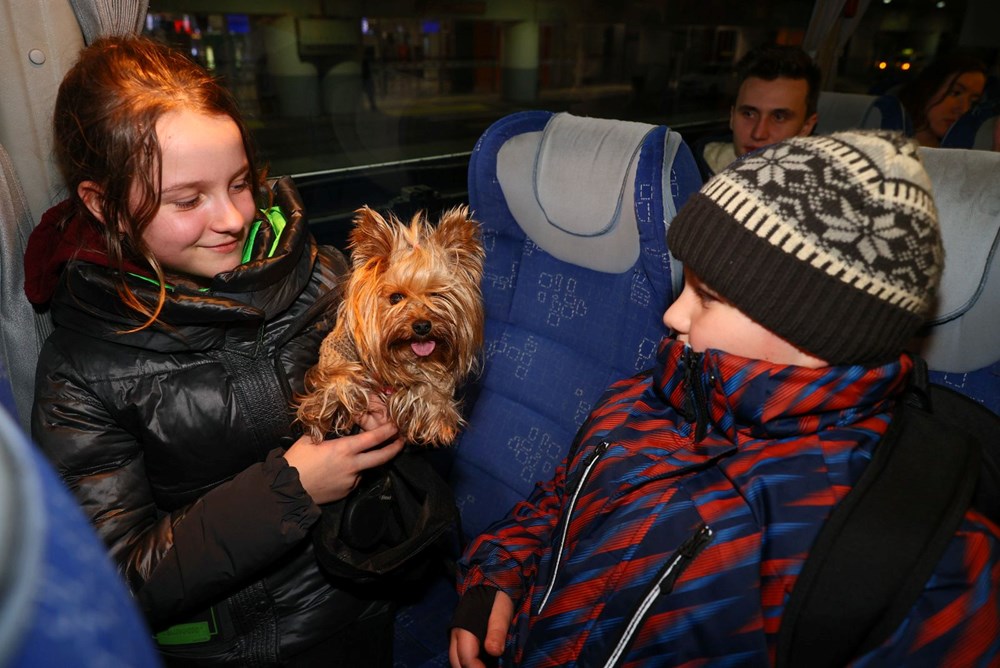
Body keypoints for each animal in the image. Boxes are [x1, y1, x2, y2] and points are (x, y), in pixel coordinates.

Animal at [296, 206, 484, 446]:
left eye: (436, 295)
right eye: (396, 297)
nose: (422, 326)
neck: (403, 353)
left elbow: (430, 384)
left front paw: (438, 415)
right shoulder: (340, 345)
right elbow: (339, 372)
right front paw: (331, 403)